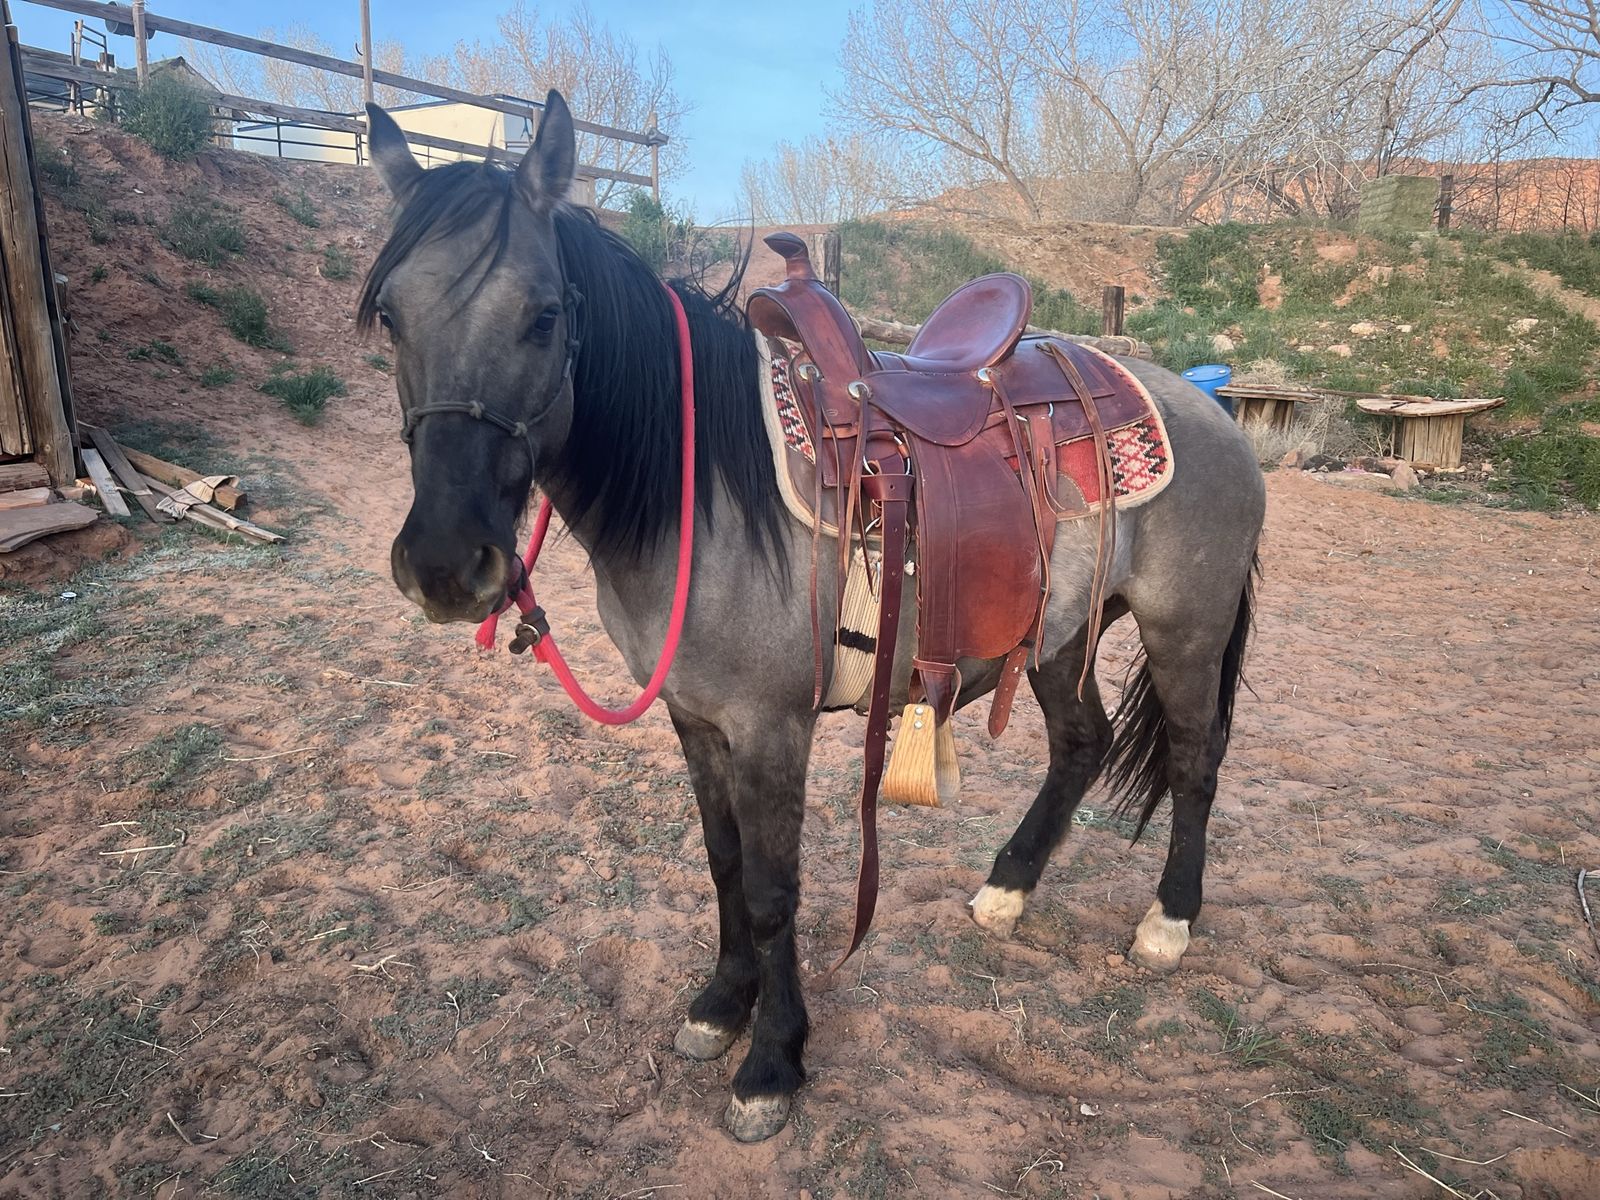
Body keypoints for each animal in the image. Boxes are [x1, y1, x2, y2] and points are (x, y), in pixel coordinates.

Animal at [361, 92, 1266, 1143]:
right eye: (392, 317)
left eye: (544, 316)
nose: (443, 564)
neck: (701, 487)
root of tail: (1206, 410)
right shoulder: (694, 717)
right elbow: (722, 864)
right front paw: (721, 1006)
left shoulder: (769, 728)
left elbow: (770, 888)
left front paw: (772, 1062)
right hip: (1058, 634)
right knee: (1081, 744)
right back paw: (1006, 890)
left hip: (1184, 632)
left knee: (1196, 760)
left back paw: (1168, 922)